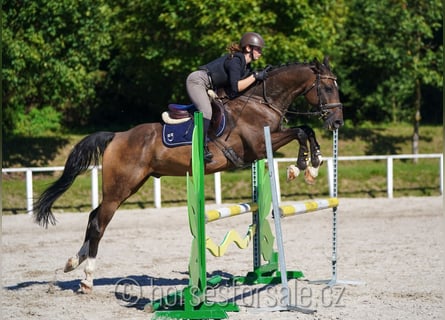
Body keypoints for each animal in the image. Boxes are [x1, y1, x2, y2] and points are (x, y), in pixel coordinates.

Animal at [34, 57, 344, 292]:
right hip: (120, 187)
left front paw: (312, 164)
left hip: (130, 185)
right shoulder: (257, 147)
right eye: (328, 87)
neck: (260, 102)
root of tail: (117, 136)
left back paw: (72, 263)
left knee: (93, 216)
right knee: (99, 222)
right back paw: (87, 278)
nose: (337, 121)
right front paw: (302, 166)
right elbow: (301, 131)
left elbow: (306, 130)